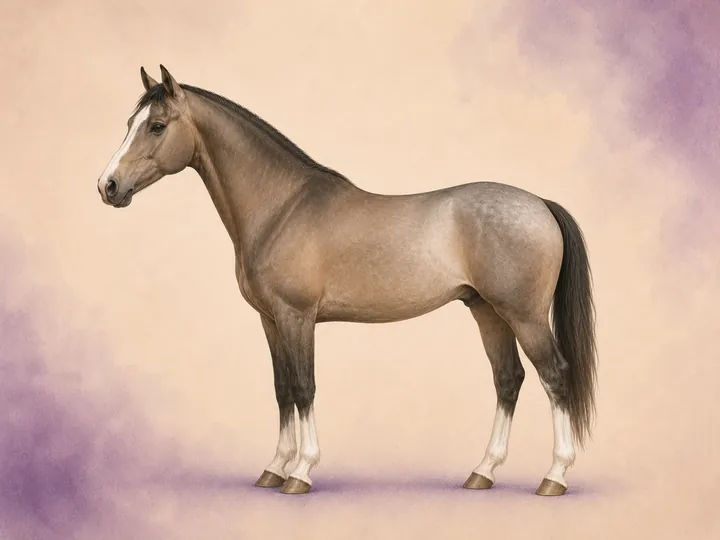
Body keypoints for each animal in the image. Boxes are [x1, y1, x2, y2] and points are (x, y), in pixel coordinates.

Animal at [97, 65, 597, 496]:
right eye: (130, 122)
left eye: (157, 126)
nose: (108, 186)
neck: (282, 208)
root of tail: (539, 203)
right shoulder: (270, 321)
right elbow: (281, 388)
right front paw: (273, 469)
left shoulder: (297, 316)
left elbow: (304, 386)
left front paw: (300, 472)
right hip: (487, 312)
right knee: (508, 379)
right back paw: (483, 472)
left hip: (524, 316)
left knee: (554, 376)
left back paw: (554, 477)